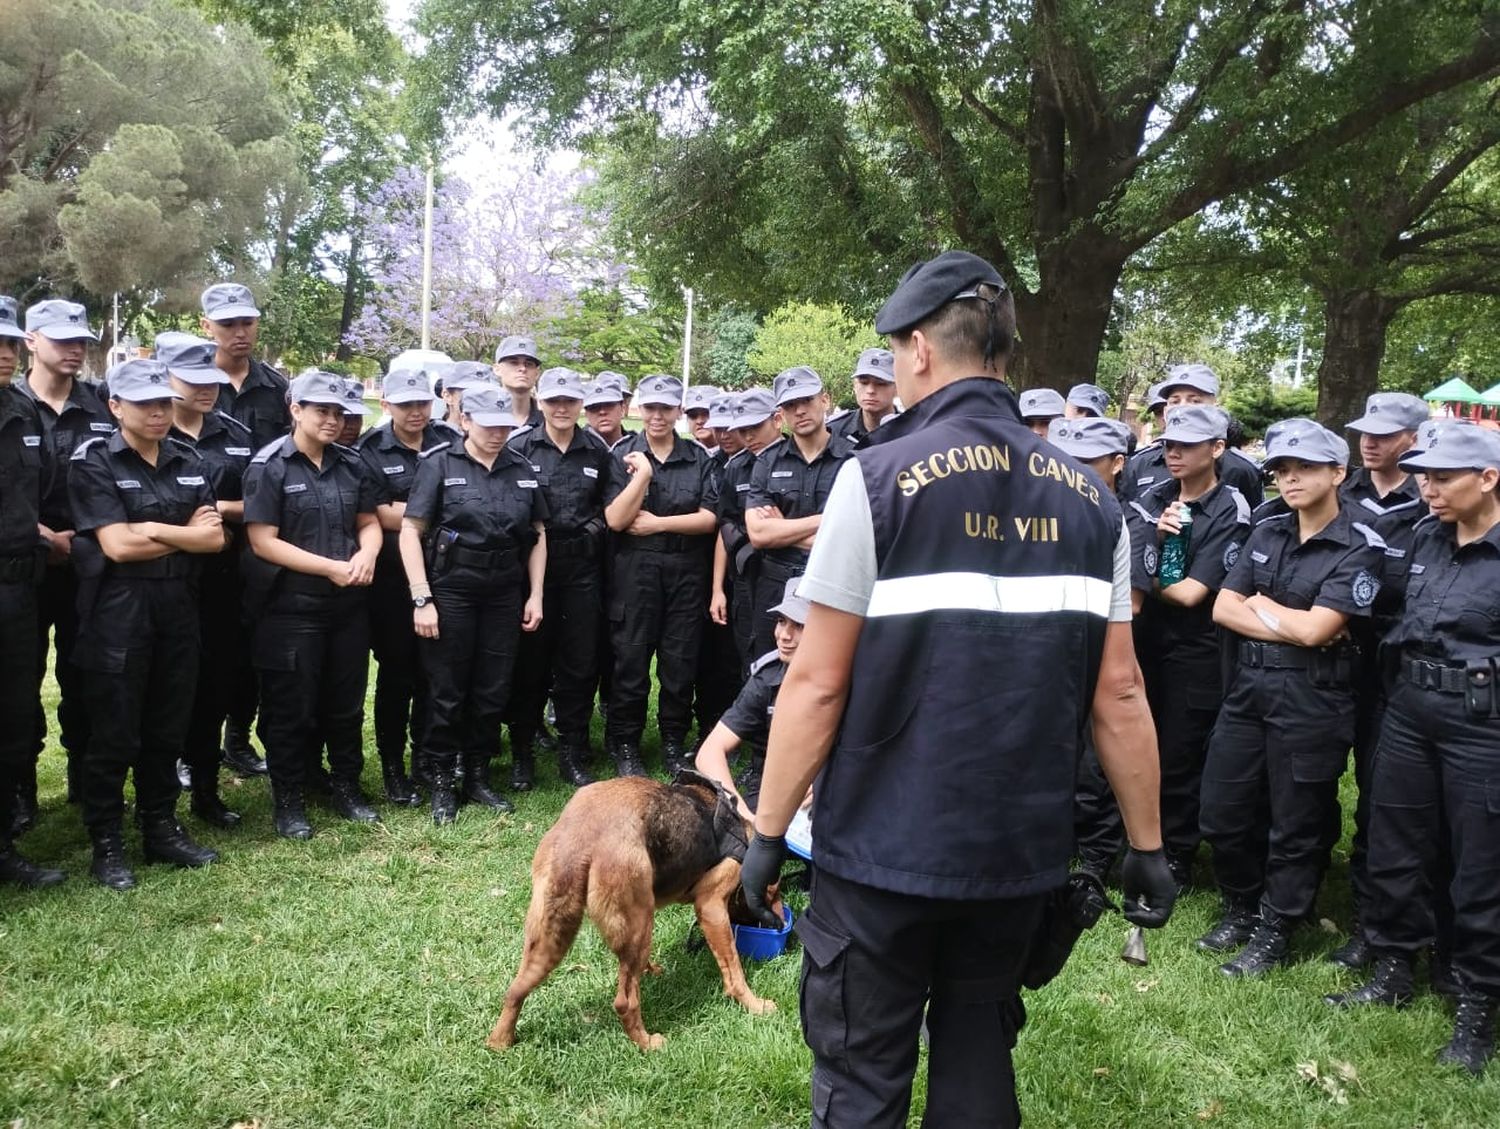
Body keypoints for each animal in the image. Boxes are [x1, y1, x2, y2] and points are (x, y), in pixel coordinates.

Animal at [489, 773, 786, 1055]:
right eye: (773, 893)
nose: (782, 924)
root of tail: (581, 840)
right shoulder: (711, 906)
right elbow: (734, 972)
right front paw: (754, 1005)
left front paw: (651, 969)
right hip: (636, 926)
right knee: (625, 1002)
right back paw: (647, 1043)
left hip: (550, 936)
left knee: (514, 991)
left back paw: (500, 1041)